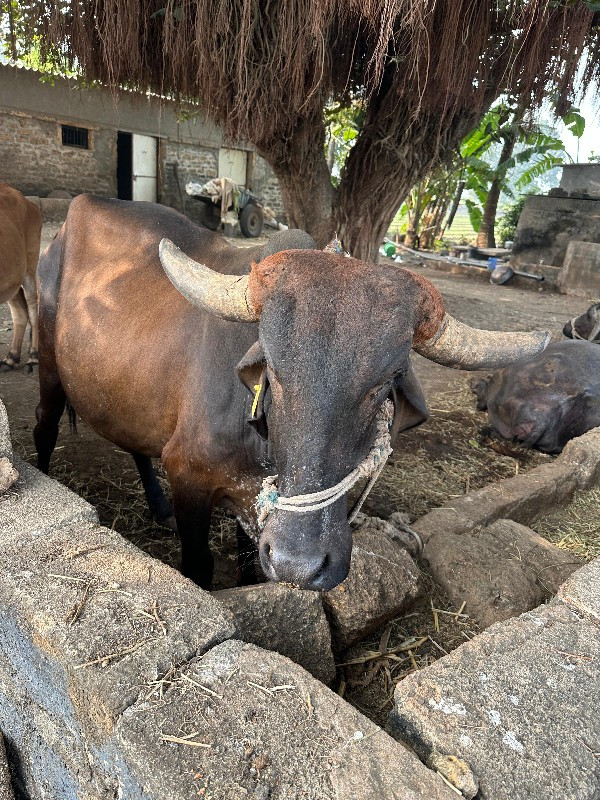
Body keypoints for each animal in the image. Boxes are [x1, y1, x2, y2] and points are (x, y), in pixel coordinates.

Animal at [32, 197, 548, 592]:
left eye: (383, 383)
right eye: (274, 372)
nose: (300, 564)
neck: (262, 451)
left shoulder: (253, 513)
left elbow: (248, 568)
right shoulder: (189, 476)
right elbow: (199, 567)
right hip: (51, 367)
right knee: (44, 427)